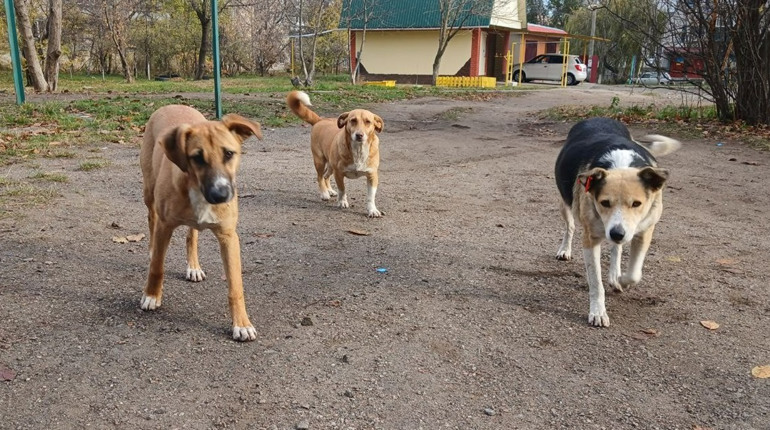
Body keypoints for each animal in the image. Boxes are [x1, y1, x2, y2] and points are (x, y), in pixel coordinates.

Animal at [136, 105, 260, 342]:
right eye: (197, 158)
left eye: (229, 153)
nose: (220, 195)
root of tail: (172, 105)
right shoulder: (165, 226)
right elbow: (157, 267)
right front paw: (151, 295)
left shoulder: (229, 237)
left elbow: (235, 287)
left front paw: (242, 324)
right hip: (149, 192)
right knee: (151, 219)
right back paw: (151, 250)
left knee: (191, 235)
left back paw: (193, 267)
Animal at [552, 117, 680, 326]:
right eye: (604, 202)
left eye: (637, 203)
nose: (616, 233)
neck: (621, 165)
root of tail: (597, 117)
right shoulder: (590, 239)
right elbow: (596, 282)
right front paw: (597, 312)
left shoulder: (644, 232)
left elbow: (634, 274)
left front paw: (619, 280)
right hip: (565, 204)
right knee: (569, 227)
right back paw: (565, 250)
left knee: (616, 248)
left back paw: (614, 274)